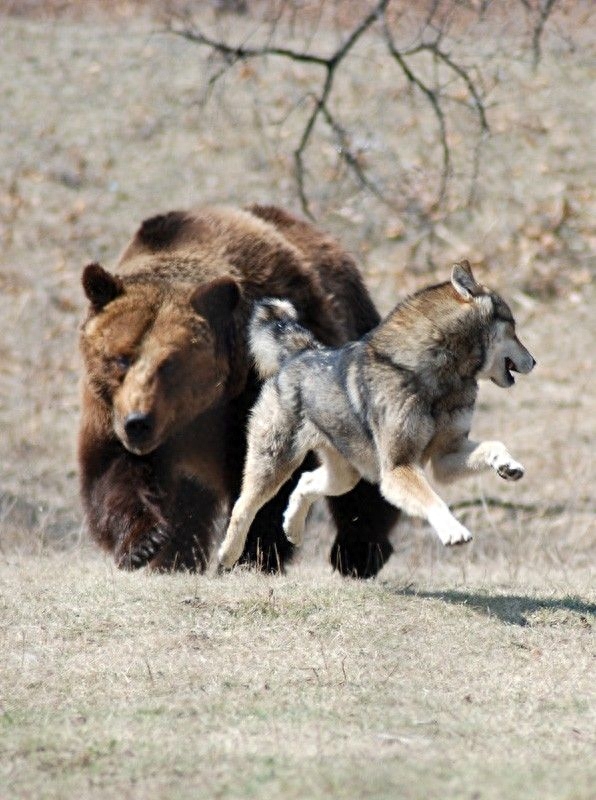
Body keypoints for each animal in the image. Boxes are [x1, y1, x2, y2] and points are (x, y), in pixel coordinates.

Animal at [218, 260, 536, 564]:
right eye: (513, 327)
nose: (534, 361)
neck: (439, 376)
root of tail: (301, 352)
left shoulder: (444, 457)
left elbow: (494, 445)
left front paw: (508, 465)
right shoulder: (397, 468)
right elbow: (434, 500)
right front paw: (453, 531)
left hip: (344, 476)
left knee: (305, 482)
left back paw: (292, 529)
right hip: (274, 465)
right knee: (242, 506)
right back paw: (227, 555)